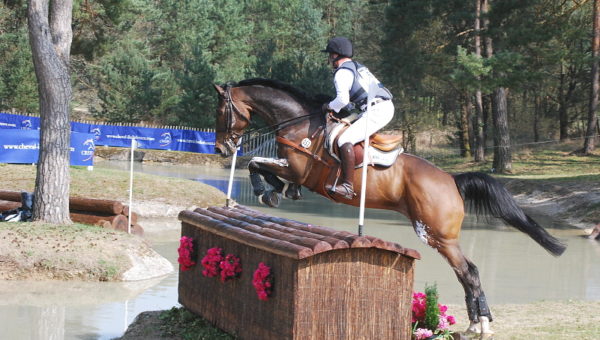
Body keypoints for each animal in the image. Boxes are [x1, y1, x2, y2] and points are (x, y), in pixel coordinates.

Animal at [212, 77, 568, 334]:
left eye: (220, 112)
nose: (220, 149)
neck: (298, 124)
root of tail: (452, 180)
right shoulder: (291, 170)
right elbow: (261, 167)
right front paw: (274, 191)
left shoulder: (297, 168)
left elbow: (255, 164)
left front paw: (267, 192)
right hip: (441, 236)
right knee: (470, 270)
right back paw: (477, 321)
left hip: (436, 234)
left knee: (468, 271)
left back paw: (479, 324)